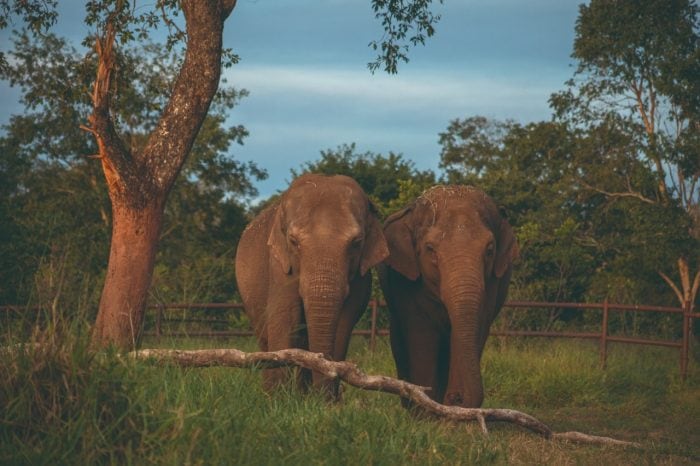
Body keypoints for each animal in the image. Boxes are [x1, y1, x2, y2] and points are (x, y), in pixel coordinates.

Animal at [235, 173, 388, 398]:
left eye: (356, 243)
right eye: (293, 241)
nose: (324, 395)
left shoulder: (360, 275)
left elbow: (344, 321)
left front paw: (323, 401)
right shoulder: (279, 265)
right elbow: (285, 316)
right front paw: (278, 400)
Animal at [378, 186, 520, 408]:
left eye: (490, 250)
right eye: (430, 249)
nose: (456, 398)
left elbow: (475, 329)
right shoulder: (407, 283)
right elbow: (421, 334)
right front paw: (425, 411)